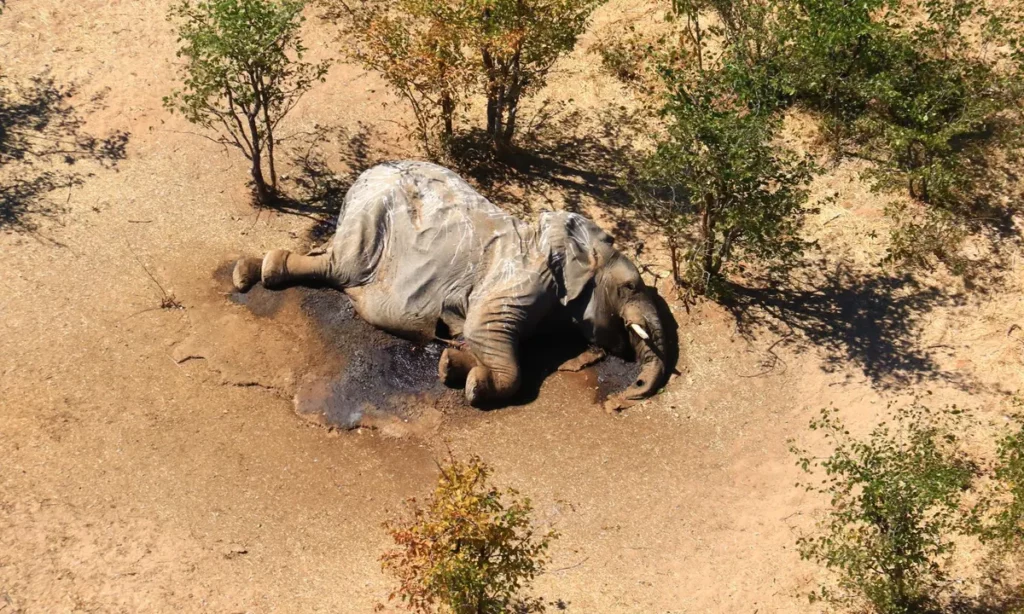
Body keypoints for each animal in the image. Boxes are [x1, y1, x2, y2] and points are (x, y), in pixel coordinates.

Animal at [232, 161, 674, 408]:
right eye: (631, 287)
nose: (625, 397)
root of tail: (363, 176)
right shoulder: (521, 279)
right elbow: (486, 331)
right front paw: (476, 385)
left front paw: (451, 366)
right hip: (370, 220)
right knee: (339, 267)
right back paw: (257, 272)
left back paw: (250, 270)